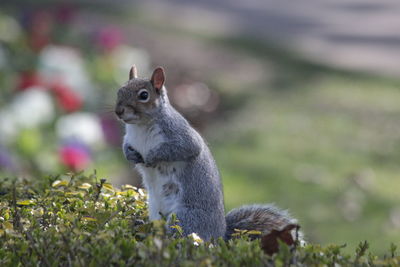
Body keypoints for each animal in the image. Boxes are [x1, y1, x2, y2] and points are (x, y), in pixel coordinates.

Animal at [114, 65, 298, 243]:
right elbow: (125, 146)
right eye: (120, 90)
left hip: (184, 217)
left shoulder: (180, 135)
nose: (118, 111)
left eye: (144, 95)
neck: (140, 126)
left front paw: (152, 156)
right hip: (155, 209)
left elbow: (182, 149)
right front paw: (130, 155)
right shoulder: (129, 138)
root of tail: (220, 235)